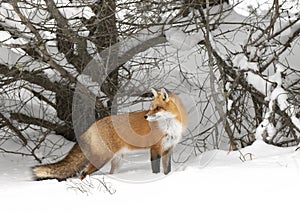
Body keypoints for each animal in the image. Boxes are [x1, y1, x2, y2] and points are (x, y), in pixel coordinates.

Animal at [32, 87, 188, 181]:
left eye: (157, 108)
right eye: (151, 107)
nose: (145, 117)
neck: (169, 127)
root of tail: (92, 126)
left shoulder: (168, 148)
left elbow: (167, 170)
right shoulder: (155, 148)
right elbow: (155, 170)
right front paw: (152, 177)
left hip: (116, 162)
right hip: (102, 158)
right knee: (83, 173)